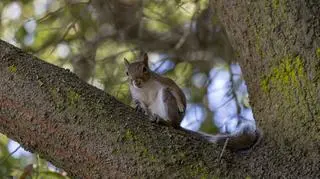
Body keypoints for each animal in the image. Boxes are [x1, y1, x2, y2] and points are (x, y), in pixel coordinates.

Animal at [124, 52, 262, 152]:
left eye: (144, 69)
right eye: (127, 73)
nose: (136, 81)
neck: (144, 87)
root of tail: (179, 124)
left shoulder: (162, 80)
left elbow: (175, 89)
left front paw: (181, 105)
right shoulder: (136, 94)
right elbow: (139, 102)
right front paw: (139, 107)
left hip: (167, 101)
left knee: (172, 121)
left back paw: (165, 121)